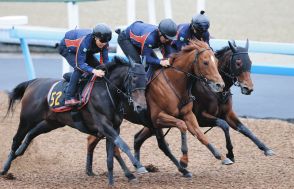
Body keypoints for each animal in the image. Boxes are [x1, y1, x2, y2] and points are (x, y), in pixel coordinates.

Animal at [1, 56, 149, 186]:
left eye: (146, 79)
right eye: (134, 78)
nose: (141, 107)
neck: (106, 92)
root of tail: (33, 82)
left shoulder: (114, 128)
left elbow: (112, 155)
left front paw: (117, 180)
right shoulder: (104, 126)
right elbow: (122, 145)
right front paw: (139, 166)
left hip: (52, 122)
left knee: (31, 133)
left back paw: (20, 151)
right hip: (27, 119)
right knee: (16, 139)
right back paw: (5, 168)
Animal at [85, 39, 234, 178]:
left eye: (216, 61)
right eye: (205, 62)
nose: (220, 85)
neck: (174, 83)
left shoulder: (188, 115)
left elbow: (200, 134)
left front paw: (222, 156)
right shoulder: (158, 117)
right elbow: (182, 126)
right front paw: (184, 160)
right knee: (94, 139)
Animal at [132, 39, 274, 168]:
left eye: (250, 62)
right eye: (238, 62)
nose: (248, 88)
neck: (216, 92)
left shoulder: (228, 113)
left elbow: (244, 129)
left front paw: (266, 148)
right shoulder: (200, 117)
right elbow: (223, 125)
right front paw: (230, 154)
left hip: (152, 123)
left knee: (138, 138)